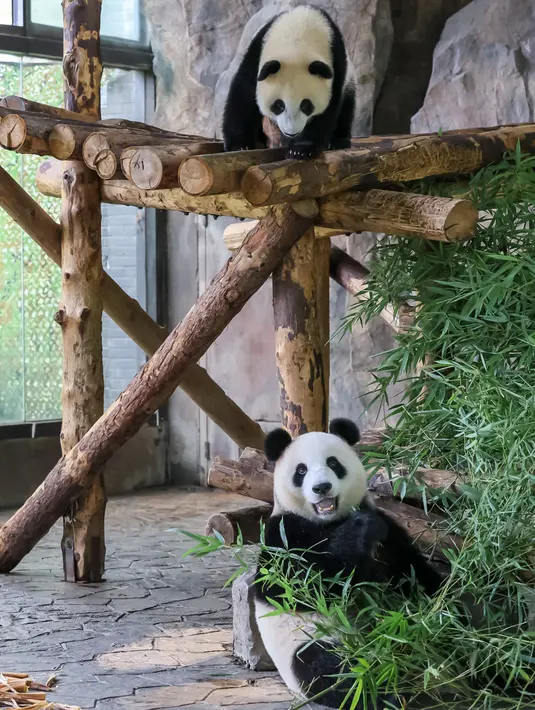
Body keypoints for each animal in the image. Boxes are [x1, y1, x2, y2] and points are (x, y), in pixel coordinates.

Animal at [222, 5, 356, 160]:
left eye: (306, 105)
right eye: (279, 105)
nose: (291, 132)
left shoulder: (336, 65)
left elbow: (327, 111)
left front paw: (300, 149)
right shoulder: (257, 51)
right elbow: (243, 94)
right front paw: (239, 145)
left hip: (349, 78)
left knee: (347, 107)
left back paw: (338, 141)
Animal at [255, 418, 443, 708]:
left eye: (333, 463)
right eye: (301, 470)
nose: (321, 488)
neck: (328, 522)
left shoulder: (390, 536)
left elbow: (413, 573)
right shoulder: (282, 534)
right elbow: (296, 584)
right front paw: (360, 530)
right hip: (312, 640)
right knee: (332, 670)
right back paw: (390, 691)